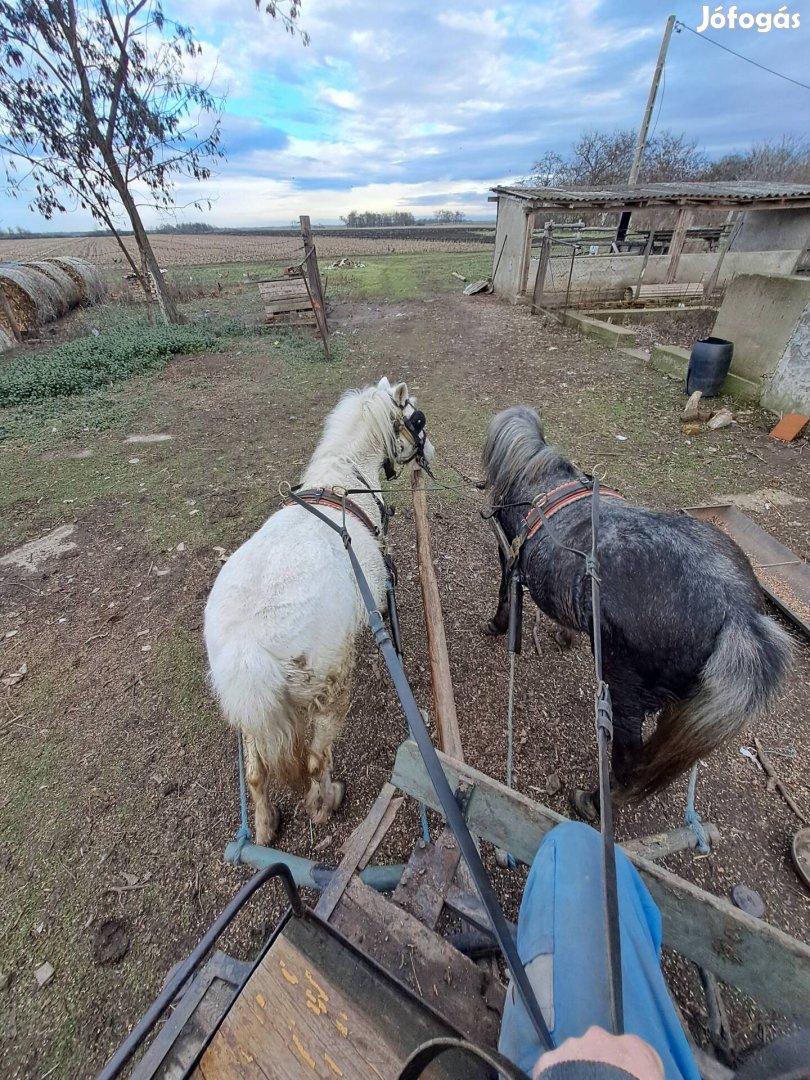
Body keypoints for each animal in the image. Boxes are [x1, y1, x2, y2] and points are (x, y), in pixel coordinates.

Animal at [206, 378, 434, 842]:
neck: (343, 481)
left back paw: (264, 824)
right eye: (416, 418)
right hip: (330, 689)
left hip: (249, 714)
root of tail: (250, 652)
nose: (432, 450)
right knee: (314, 758)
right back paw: (325, 802)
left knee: (256, 773)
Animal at [481, 408, 794, 812]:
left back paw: (591, 802)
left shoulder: (508, 554)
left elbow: (505, 594)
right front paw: (564, 634)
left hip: (623, 691)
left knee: (629, 765)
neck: (539, 479)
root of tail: (737, 614)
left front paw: (498, 625)